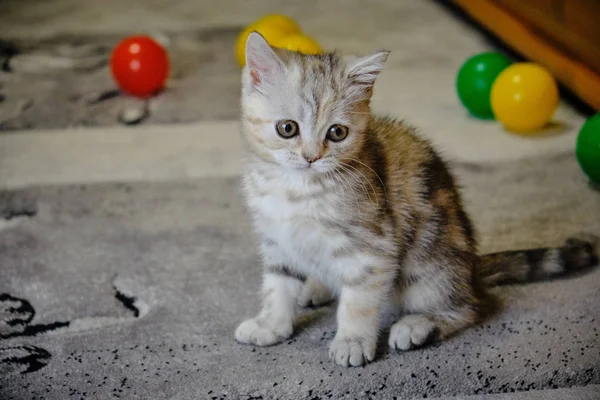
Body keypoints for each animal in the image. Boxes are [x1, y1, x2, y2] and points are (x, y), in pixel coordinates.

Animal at [234, 32, 596, 368]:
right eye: (287, 128)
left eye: (337, 133)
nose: (312, 157)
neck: (294, 190)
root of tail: (472, 269)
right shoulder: (277, 240)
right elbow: (278, 286)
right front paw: (271, 325)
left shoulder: (374, 247)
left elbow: (359, 301)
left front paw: (352, 341)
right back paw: (317, 287)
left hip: (427, 263)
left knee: (470, 307)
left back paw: (420, 325)